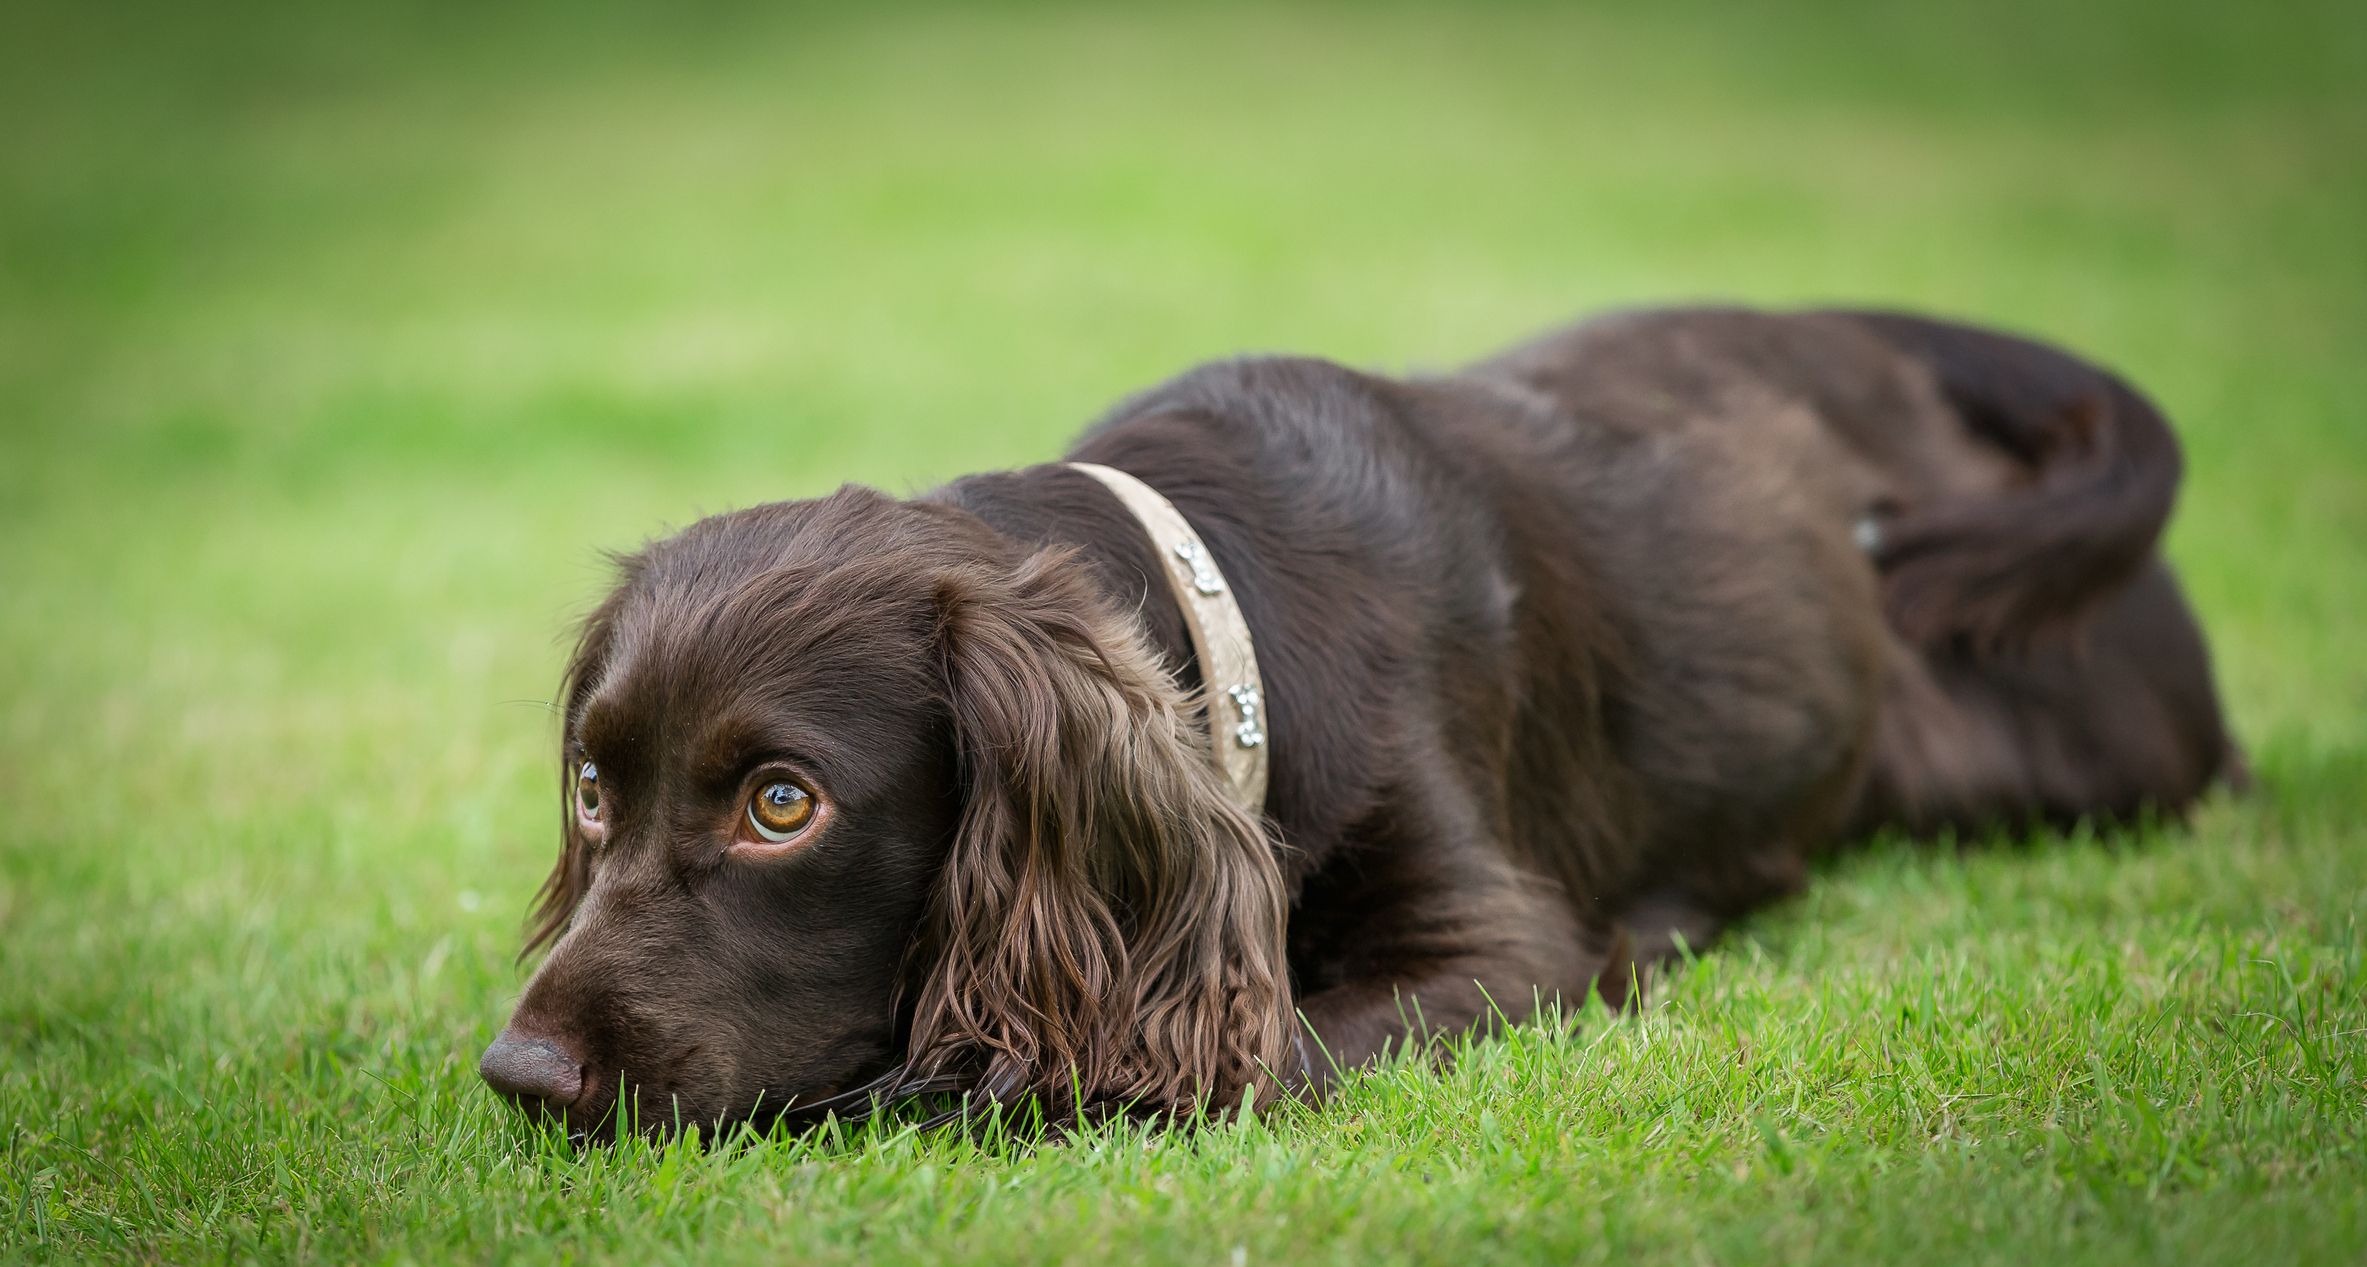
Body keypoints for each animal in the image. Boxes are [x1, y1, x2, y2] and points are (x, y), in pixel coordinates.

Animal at [475, 305, 2234, 1141]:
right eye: (590, 788)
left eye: (782, 802)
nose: (520, 1074)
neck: (1227, 598)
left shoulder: (1506, 944)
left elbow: (1235, 1058)